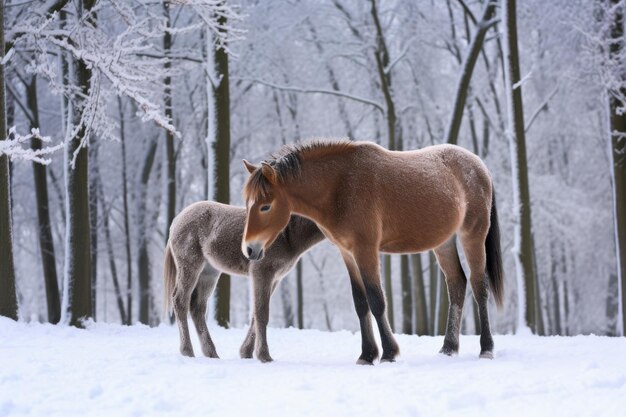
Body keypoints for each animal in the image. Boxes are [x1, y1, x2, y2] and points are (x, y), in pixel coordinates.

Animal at [163, 200, 324, 360]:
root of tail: (177, 220)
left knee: (197, 307)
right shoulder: (262, 272)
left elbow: (255, 314)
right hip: (190, 266)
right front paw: (264, 356)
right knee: (180, 301)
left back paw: (211, 354)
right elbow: (261, 313)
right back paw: (187, 352)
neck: (288, 233)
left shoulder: (275, 278)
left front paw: (246, 352)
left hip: (209, 272)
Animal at [240, 139, 502, 360]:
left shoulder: (366, 250)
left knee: (479, 286)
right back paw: (448, 348)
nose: (249, 249)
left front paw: (388, 352)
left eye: (265, 206)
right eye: (248, 203)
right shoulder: (348, 253)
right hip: (444, 243)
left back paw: (487, 348)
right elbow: (360, 303)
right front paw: (367, 355)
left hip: (472, 235)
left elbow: (376, 300)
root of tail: (481, 166)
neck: (341, 186)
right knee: (457, 284)